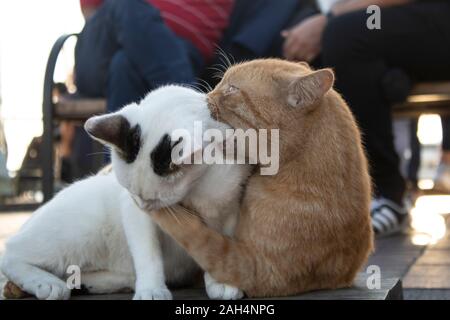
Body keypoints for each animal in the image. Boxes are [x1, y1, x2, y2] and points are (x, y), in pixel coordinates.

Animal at [0, 85, 250, 300]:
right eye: (132, 194)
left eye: (152, 198)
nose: (143, 206)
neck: (199, 187)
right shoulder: (134, 213)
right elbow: (147, 252)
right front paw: (151, 290)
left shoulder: (230, 208)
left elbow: (222, 249)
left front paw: (222, 282)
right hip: (78, 231)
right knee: (11, 253)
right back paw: (47, 283)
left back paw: (93, 281)